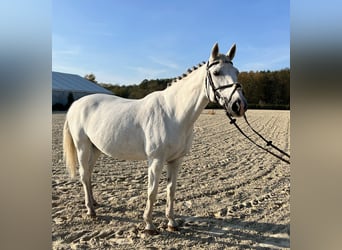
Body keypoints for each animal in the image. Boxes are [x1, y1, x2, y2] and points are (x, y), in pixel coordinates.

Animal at [63, 43, 246, 234]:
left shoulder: (176, 161)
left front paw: (172, 222)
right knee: (84, 175)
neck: (173, 113)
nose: (239, 105)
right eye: (216, 72)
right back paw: (91, 210)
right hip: (82, 147)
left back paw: (94, 203)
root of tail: (76, 104)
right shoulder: (156, 160)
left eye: (237, 71)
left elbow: (171, 190)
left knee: (89, 174)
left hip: (96, 148)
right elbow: (152, 191)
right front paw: (149, 225)